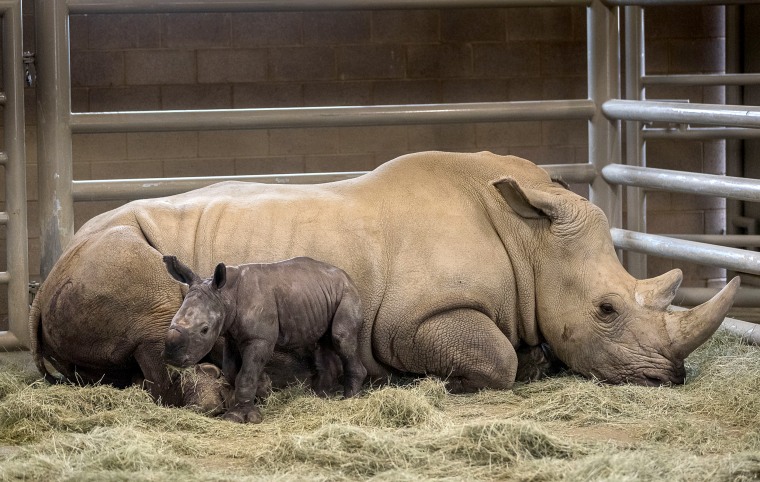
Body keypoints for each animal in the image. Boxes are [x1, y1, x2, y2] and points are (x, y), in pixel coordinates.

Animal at [162, 256, 366, 422]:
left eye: (204, 330)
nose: (172, 357)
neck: (225, 295)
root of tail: (347, 277)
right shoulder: (231, 337)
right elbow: (232, 371)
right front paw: (263, 390)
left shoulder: (259, 339)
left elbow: (245, 375)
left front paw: (238, 417)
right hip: (319, 295)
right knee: (323, 343)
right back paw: (321, 397)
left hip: (348, 294)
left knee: (341, 338)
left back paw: (349, 400)